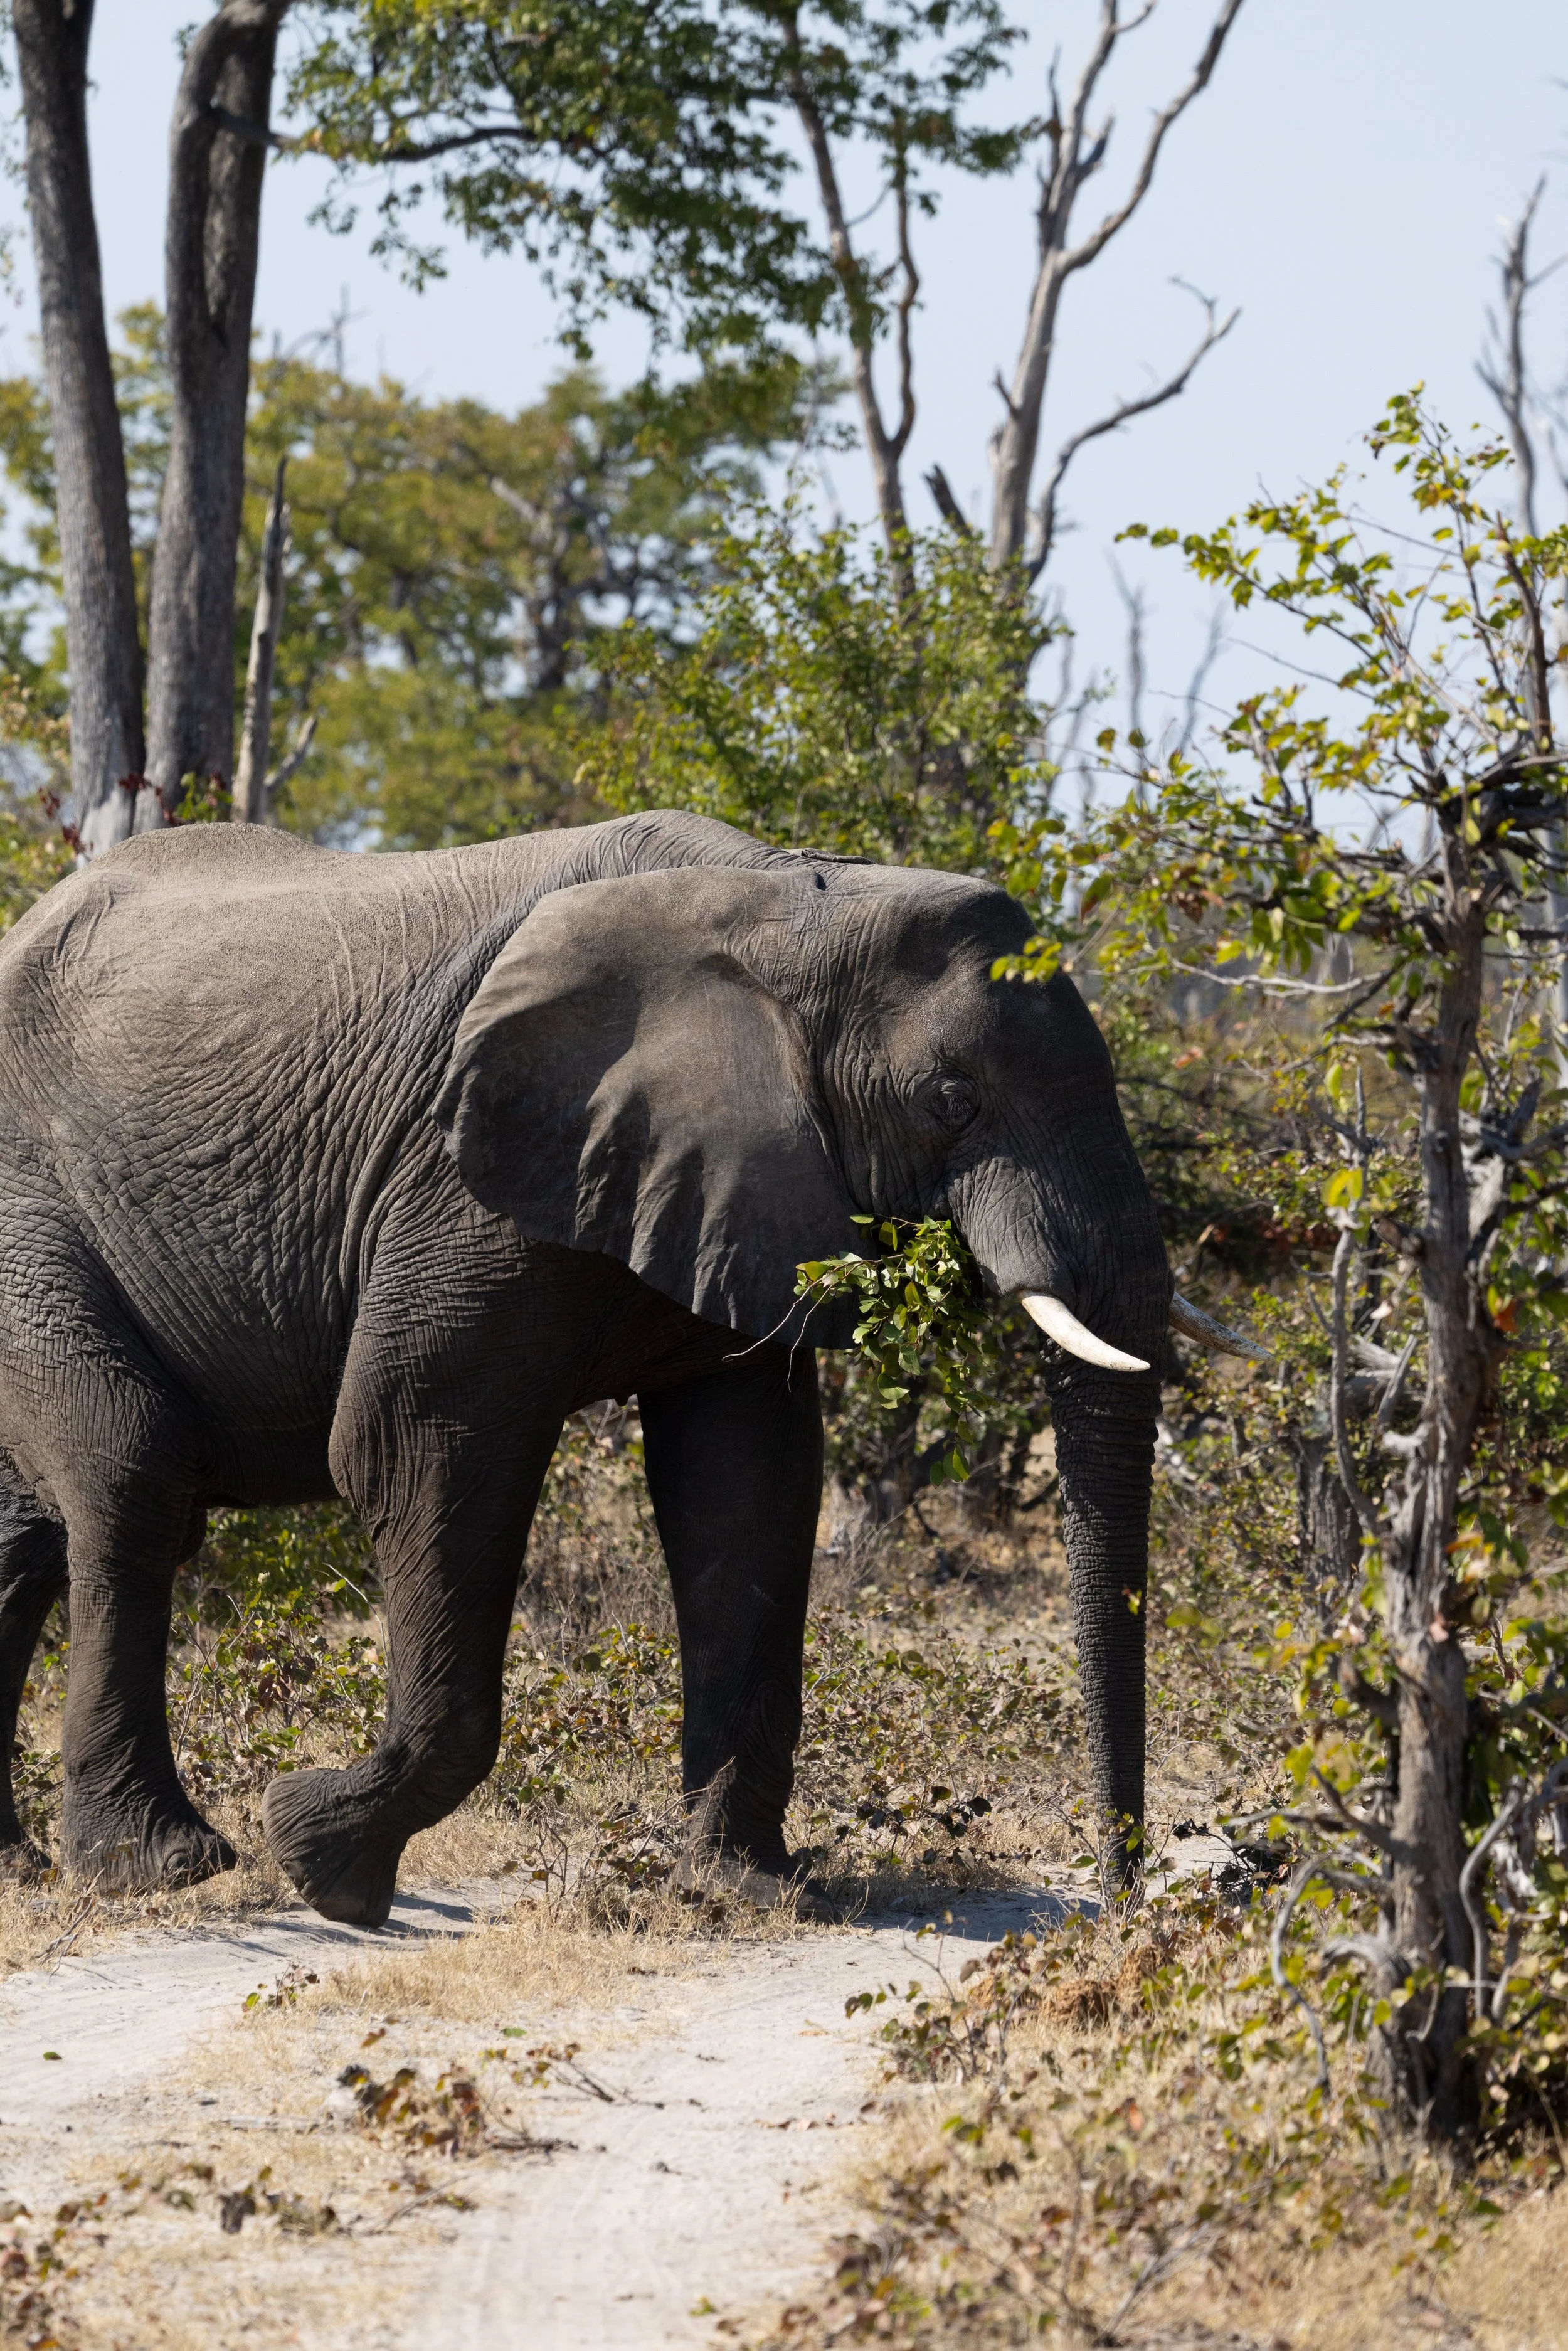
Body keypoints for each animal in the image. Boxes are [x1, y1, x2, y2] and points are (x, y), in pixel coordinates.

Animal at [0, 808, 1196, 1926]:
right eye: (951, 1097)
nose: (1122, 1900)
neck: (795, 903)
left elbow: (746, 1490)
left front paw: (741, 1889)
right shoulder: (463, 1171)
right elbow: (408, 1441)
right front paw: (320, 1860)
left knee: (25, 1540)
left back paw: (23, 1868)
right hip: (27, 1213)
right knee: (130, 1474)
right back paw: (153, 1868)